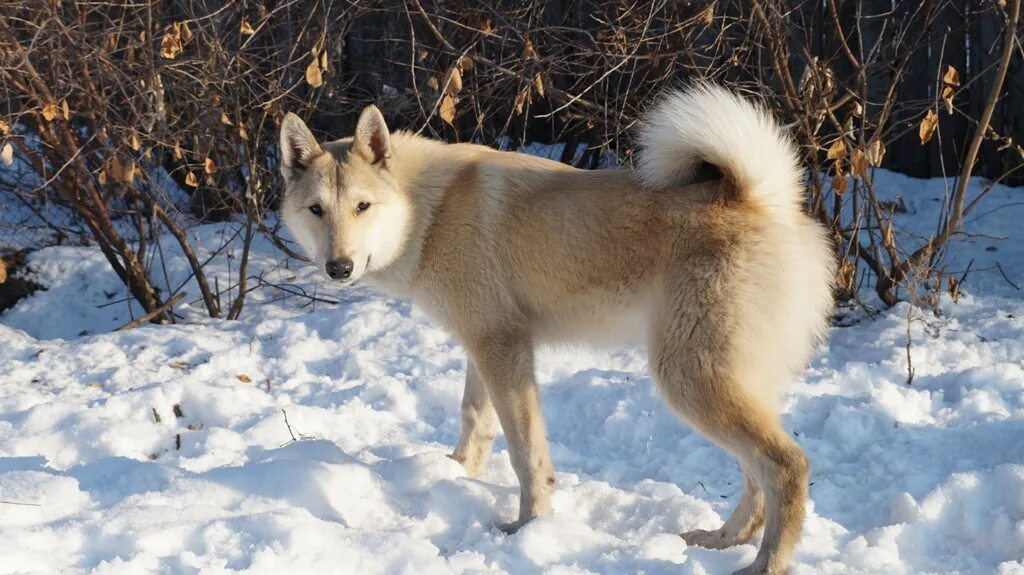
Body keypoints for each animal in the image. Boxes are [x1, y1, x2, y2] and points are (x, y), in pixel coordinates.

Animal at [278, 84, 831, 572]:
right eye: (316, 210)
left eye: (362, 206)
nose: (338, 268)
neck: (428, 212)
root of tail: (761, 197)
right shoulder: (484, 346)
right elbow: (475, 423)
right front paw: (456, 475)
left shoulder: (503, 350)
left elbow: (526, 455)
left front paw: (528, 527)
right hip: (727, 382)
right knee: (756, 476)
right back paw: (722, 540)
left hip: (690, 380)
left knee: (787, 467)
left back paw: (764, 564)